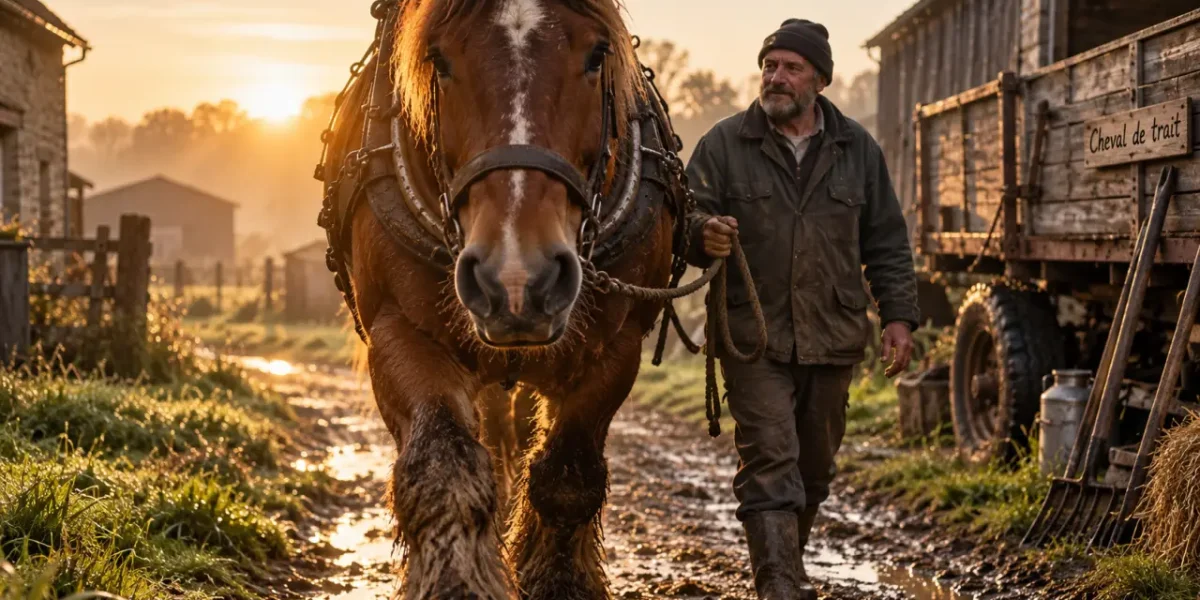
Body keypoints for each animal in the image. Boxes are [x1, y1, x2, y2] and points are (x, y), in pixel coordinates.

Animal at [316, 0, 694, 597]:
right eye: (439, 60)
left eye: (596, 55)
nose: (517, 278)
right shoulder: (399, 332)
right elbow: (443, 466)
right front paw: (455, 580)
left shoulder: (616, 347)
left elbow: (568, 477)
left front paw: (559, 581)